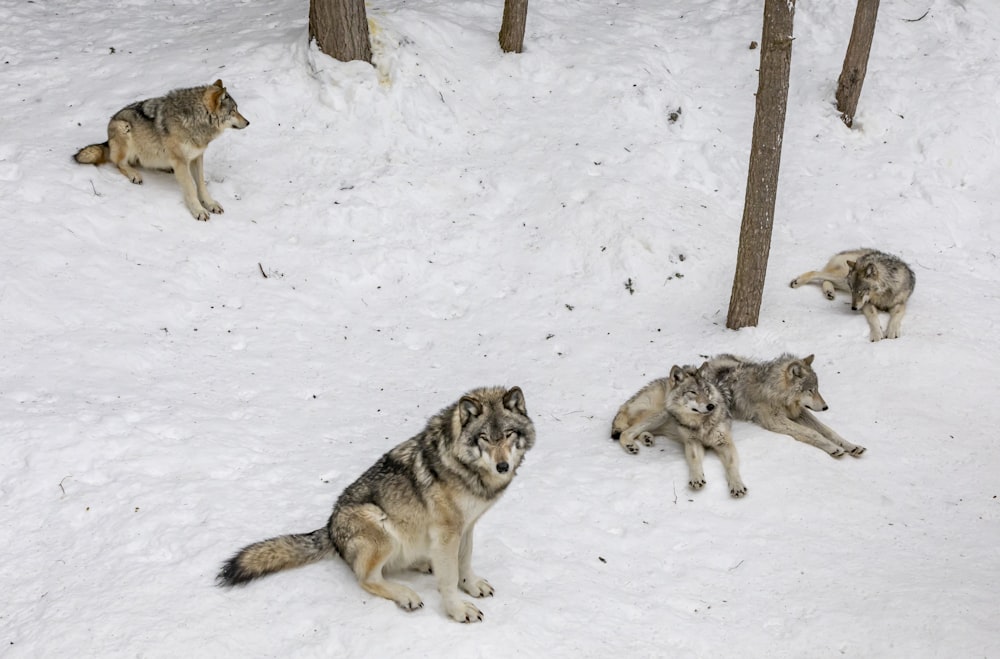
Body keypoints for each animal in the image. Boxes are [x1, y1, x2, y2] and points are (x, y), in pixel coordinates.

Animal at [73, 80, 248, 222]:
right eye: (233, 111)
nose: (248, 122)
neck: (195, 119)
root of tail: (107, 139)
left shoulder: (197, 157)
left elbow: (202, 186)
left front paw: (210, 204)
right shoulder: (181, 161)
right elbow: (191, 188)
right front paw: (198, 211)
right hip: (124, 127)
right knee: (120, 164)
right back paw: (134, 175)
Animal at [216, 386, 536, 624]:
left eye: (508, 434)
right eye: (484, 438)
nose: (503, 466)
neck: (465, 467)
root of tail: (329, 529)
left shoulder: (466, 527)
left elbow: (464, 562)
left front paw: (471, 586)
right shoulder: (448, 532)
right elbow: (448, 578)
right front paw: (457, 611)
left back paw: (424, 564)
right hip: (379, 525)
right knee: (366, 579)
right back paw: (407, 595)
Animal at [604, 364, 748, 498]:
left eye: (706, 391)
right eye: (693, 392)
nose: (711, 406)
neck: (701, 423)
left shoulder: (725, 443)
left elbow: (731, 465)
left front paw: (737, 485)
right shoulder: (693, 442)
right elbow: (694, 461)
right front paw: (696, 478)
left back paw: (646, 438)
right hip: (663, 413)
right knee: (626, 431)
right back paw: (630, 445)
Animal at [700, 356, 864, 458]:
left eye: (817, 389)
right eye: (810, 390)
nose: (826, 407)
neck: (775, 392)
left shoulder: (799, 412)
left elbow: (828, 431)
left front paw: (851, 446)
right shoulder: (775, 421)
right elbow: (812, 432)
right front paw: (834, 448)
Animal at [788, 248, 916, 340]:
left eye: (860, 291)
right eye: (853, 290)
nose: (853, 308)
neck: (882, 294)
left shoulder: (900, 303)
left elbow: (896, 316)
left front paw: (892, 331)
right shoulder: (866, 304)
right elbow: (873, 317)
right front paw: (876, 334)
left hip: (842, 281)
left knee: (824, 279)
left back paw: (829, 292)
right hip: (843, 279)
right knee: (817, 273)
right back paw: (797, 281)